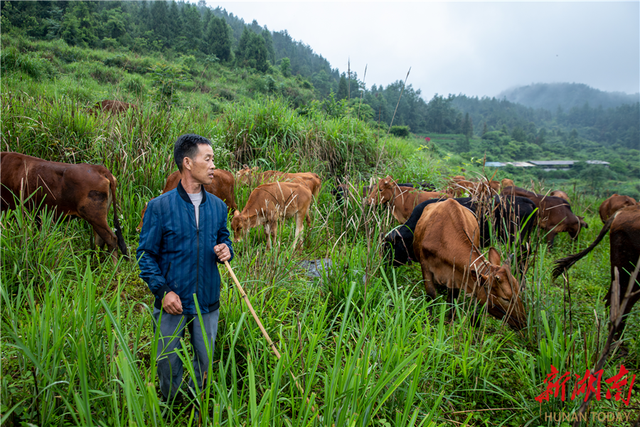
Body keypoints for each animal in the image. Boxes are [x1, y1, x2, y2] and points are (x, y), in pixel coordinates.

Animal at [412, 199, 528, 330]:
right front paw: (429, 322)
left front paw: (450, 322)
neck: (443, 238)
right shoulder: (425, 266)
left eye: (518, 290)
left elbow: (452, 299)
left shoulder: (457, 275)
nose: (523, 322)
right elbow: (431, 295)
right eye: (505, 298)